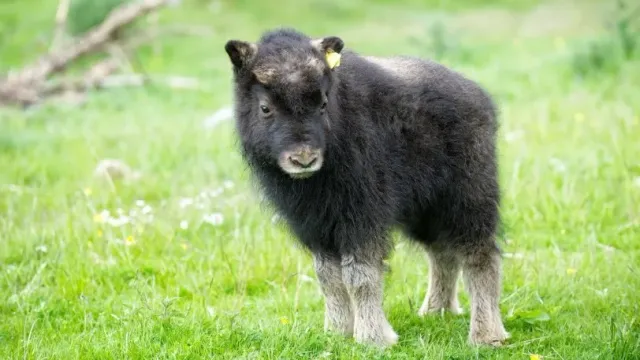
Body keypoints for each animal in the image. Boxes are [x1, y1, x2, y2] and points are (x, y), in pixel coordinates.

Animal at [225, 26, 510, 348]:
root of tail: (478, 96)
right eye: (265, 107)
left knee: (480, 256)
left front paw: (373, 337)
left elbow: (359, 276)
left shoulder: (361, 219)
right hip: (426, 212)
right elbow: (329, 278)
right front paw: (337, 332)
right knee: (442, 254)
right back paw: (435, 312)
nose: (304, 159)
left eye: (322, 103)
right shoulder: (318, 227)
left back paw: (486, 335)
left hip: (468, 199)